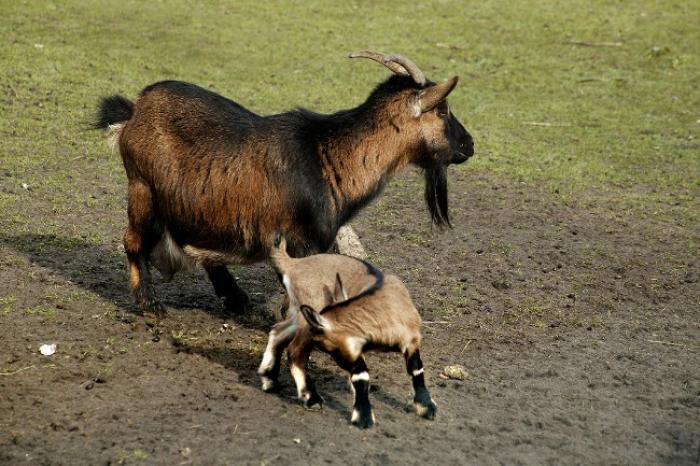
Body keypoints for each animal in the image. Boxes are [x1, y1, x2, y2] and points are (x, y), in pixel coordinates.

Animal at [94, 51, 474, 314]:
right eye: (443, 110)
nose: (469, 144)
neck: (328, 156)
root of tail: (135, 109)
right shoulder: (299, 241)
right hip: (143, 188)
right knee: (132, 240)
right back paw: (150, 304)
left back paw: (237, 301)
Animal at [259, 234, 436, 428]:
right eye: (327, 347)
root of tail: (292, 264)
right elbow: (361, 376)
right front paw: (363, 417)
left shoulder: (410, 339)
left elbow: (416, 369)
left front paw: (426, 407)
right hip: (305, 317)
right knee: (294, 351)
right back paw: (311, 398)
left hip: (299, 316)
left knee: (278, 331)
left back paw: (269, 380)